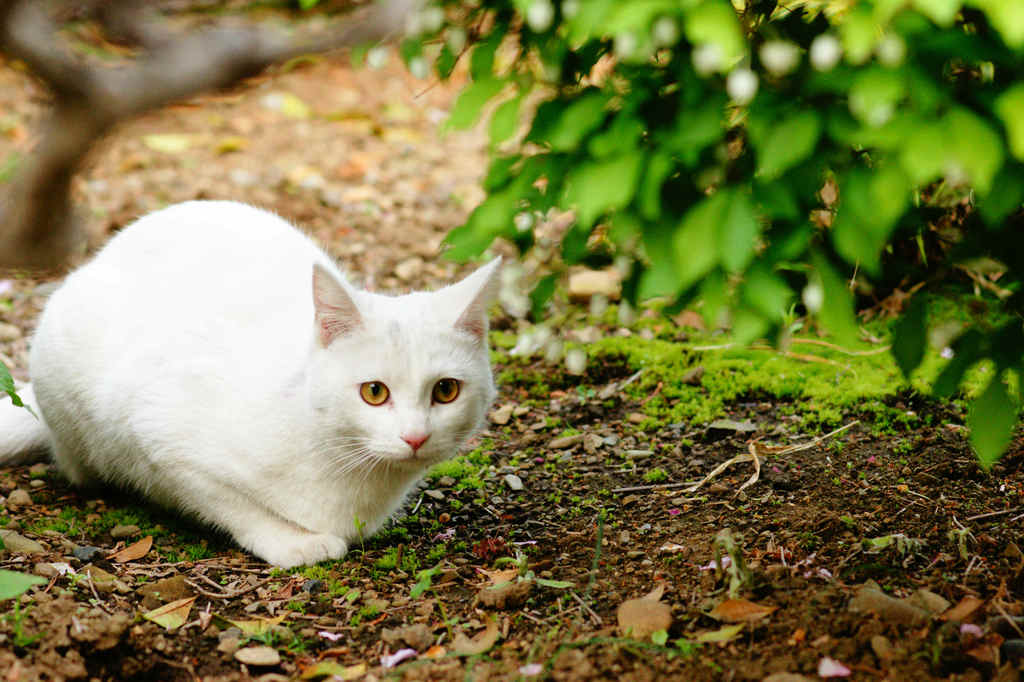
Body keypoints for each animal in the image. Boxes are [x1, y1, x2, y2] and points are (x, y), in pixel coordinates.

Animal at [0, 199, 499, 565]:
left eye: (446, 391)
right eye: (374, 392)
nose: (416, 437)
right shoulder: (160, 439)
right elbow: (234, 506)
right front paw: (293, 543)